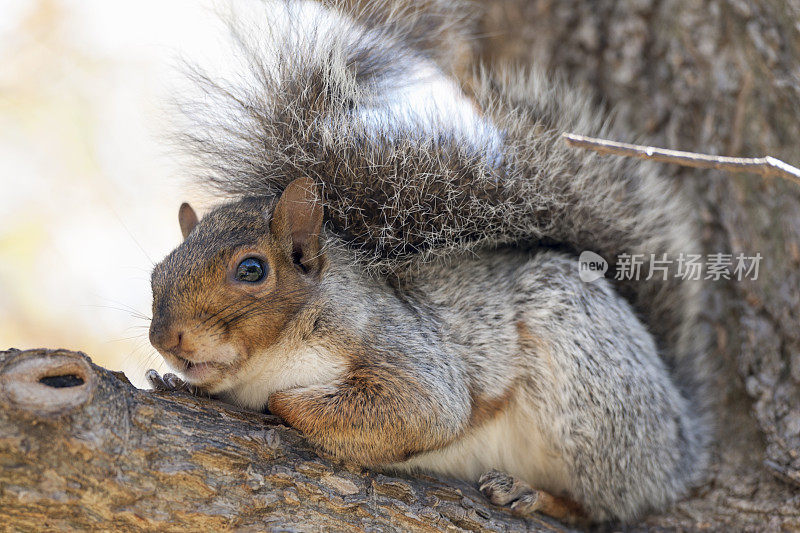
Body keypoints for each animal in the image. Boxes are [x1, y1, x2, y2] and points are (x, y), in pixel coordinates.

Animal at [147, 0, 708, 524]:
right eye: (155, 273)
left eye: (252, 270)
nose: (166, 339)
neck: (270, 359)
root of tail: (681, 440)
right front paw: (176, 383)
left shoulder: (399, 349)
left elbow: (423, 410)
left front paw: (281, 403)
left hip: (592, 399)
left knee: (604, 505)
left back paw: (533, 494)